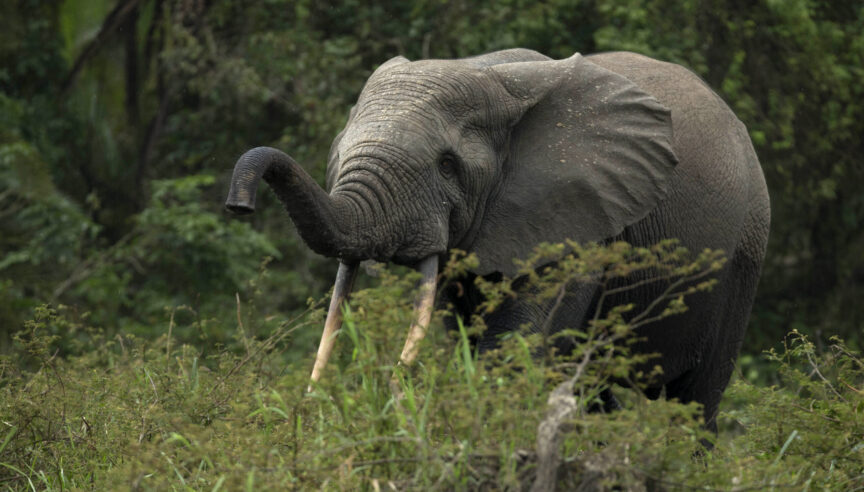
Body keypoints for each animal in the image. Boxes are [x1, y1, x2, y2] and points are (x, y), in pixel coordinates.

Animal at [225, 48, 770, 432]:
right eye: (338, 155)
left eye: (448, 166)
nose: (238, 204)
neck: (494, 76)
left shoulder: (577, 219)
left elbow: (516, 344)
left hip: (745, 252)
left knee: (695, 402)